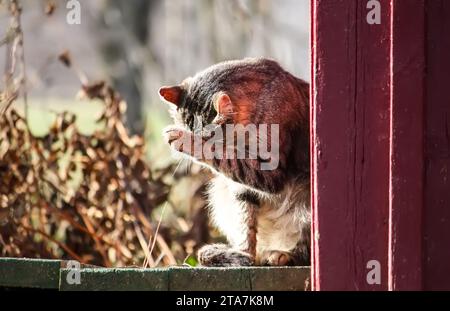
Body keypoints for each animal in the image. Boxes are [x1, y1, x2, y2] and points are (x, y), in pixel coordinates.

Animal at [160, 57, 312, 266]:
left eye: (206, 139)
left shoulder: (269, 170)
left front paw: (185, 141)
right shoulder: (241, 188)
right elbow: (245, 225)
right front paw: (243, 254)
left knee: (305, 248)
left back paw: (283, 255)